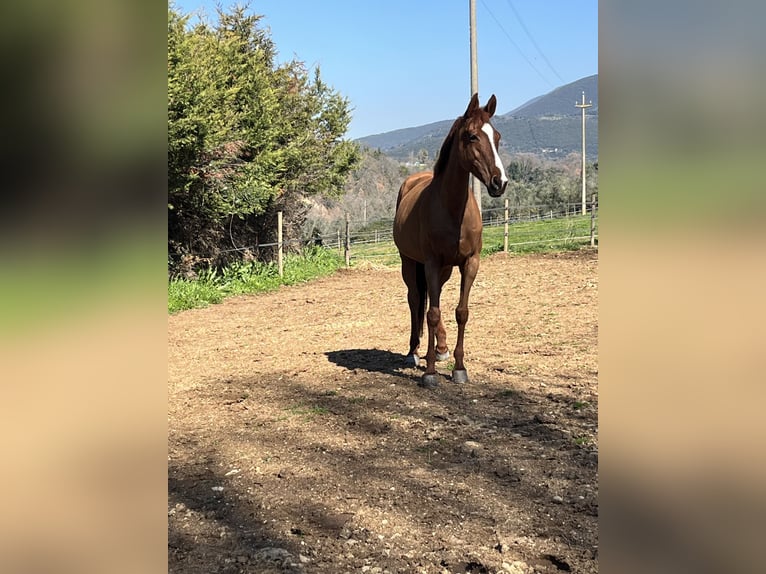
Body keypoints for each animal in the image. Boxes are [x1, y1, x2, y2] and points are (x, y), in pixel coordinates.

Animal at [393, 93, 508, 388]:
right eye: (472, 136)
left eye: (497, 136)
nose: (500, 182)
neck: (452, 209)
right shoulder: (431, 263)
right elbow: (431, 313)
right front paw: (430, 372)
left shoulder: (470, 263)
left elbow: (460, 312)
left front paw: (458, 367)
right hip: (409, 263)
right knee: (415, 300)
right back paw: (413, 352)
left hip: (443, 270)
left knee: (435, 300)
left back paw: (441, 348)